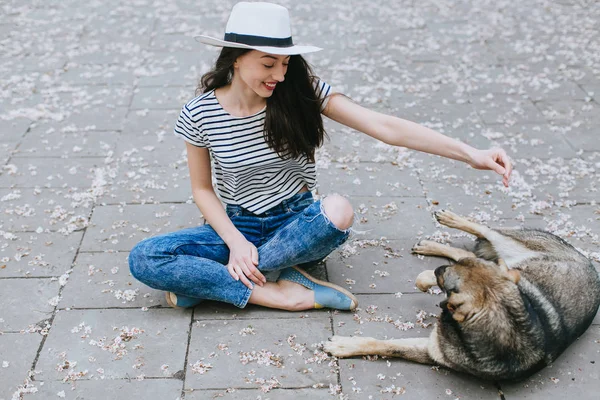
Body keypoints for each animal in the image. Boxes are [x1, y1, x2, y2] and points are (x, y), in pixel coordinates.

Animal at [324, 209, 600, 382]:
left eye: (453, 287)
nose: (439, 270)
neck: (508, 319)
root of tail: (587, 260)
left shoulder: (435, 350)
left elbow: (387, 346)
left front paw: (344, 345)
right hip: (508, 255)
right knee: (481, 235)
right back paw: (444, 228)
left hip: (510, 256)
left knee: (472, 247)